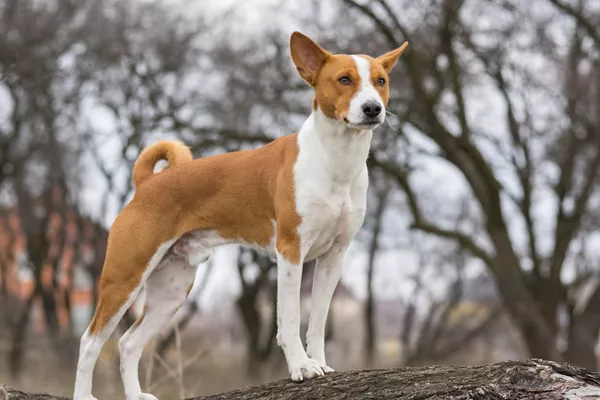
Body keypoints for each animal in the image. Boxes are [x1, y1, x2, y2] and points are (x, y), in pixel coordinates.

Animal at [71, 32, 408, 400]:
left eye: (381, 81)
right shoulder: (291, 251)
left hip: (171, 289)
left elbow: (318, 322)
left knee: (129, 343)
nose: (373, 108)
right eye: (344, 79)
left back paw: (135, 395)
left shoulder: (334, 255)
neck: (336, 161)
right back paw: (83, 394)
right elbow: (290, 320)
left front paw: (320, 364)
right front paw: (302, 367)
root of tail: (146, 183)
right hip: (124, 277)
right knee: (90, 341)